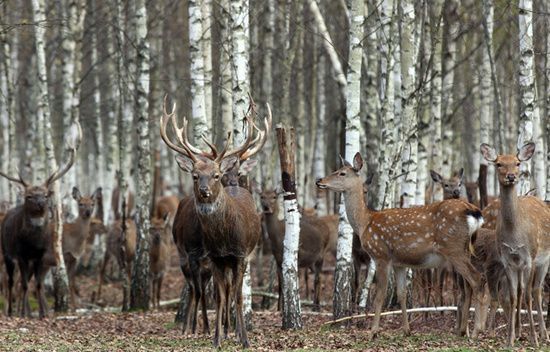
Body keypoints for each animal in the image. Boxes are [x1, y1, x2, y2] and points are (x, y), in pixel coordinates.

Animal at [0, 125, 82, 318]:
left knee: (25, 282)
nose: (40, 203)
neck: (33, 242)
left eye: (45, 195)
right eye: (29, 196)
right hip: (6, 252)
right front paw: (23, 313)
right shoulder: (21, 254)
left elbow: (36, 284)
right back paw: (11, 312)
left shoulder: (39, 255)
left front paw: (42, 315)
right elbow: (23, 285)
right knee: (11, 281)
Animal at [160, 97, 272, 348]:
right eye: (194, 175)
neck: (223, 239)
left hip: (246, 255)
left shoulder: (239, 255)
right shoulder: (214, 258)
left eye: (216, 175)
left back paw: (236, 332)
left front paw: (244, 339)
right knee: (203, 288)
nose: (204, 191)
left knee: (234, 290)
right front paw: (216, 338)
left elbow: (237, 296)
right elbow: (218, 297)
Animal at [316, 153, 486, 336]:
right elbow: (402, 293)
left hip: (454, 248)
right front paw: (406, 330)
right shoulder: (400, 263)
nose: (319, 180)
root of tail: (474, 211)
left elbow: (380, 295)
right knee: (467, 285)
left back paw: (477, 330)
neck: (365, 223)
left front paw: (373, 332)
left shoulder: (381, 255)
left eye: (342, 173)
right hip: (465, 249)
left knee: (477, 279)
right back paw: (462, 330)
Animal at [478, 143, 550, 346]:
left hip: (544, 260)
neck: (515, 236)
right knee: (520, 291)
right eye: (499, 164)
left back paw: (544, 334)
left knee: (536, 291)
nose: (511, 176)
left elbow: (527, 297)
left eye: (517, 163)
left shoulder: (530, 258)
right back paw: (519, 332)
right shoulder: (508, 260)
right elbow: (512, 296)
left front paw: (534, 339)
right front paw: (509, 339)